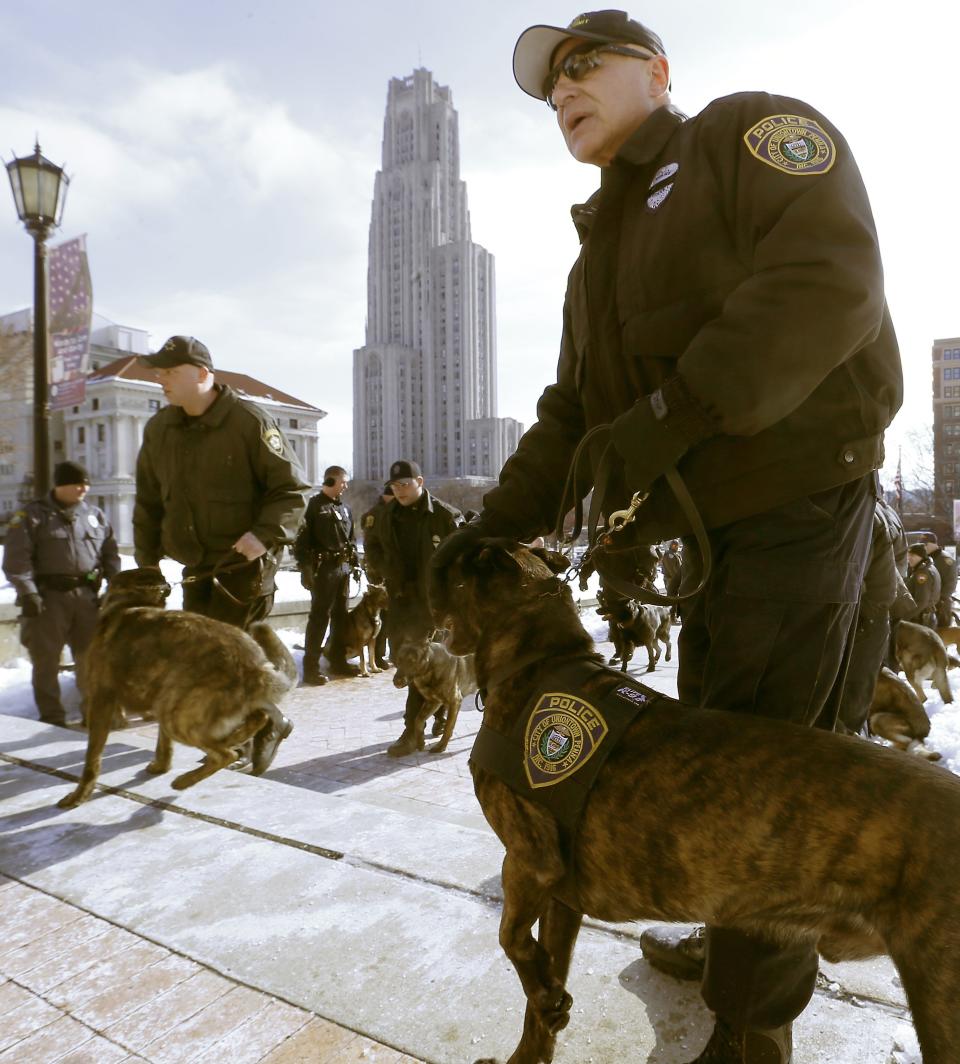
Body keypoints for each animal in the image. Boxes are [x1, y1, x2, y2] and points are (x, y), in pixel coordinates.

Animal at [57, 566, 295, 804]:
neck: (129, 601)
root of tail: (255, 665)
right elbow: (164, 744)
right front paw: (161, 767)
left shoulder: (101, 700)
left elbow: (92, 758)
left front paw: (79, 795)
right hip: (176, 706)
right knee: (256, 720)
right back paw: (231, 740)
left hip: (176, 716)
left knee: (225, 754)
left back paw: (185, 780)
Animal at [432, 540, 960, 1064]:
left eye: (451, 568)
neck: (538, 659)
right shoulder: (560, 895)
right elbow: (538, 996)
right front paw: (540, 1025)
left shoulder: (528, 862)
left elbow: (510, 938)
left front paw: (542, 991)